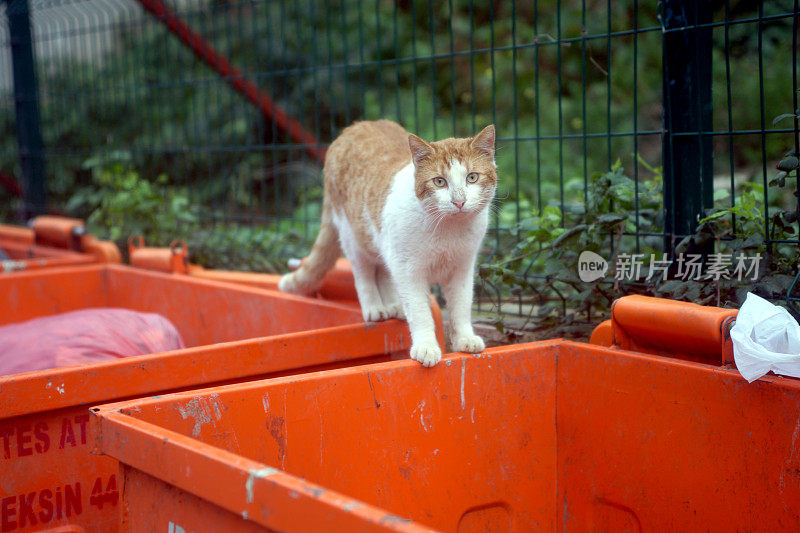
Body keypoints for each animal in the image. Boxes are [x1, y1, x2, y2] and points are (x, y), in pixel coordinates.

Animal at [278, 119, 496, 366]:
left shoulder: (462, 269)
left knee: (383, 271)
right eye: (440, 182)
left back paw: (394, 306)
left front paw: (464, 340)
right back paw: (375, 308)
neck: (449, 230)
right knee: (364, 274)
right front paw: (426, 347)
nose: (459, 201)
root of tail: (355, 126)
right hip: (354, 238)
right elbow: (420, 311)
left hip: (385, 246)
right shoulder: (409, 271)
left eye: (472, 177)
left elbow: (461, 307)